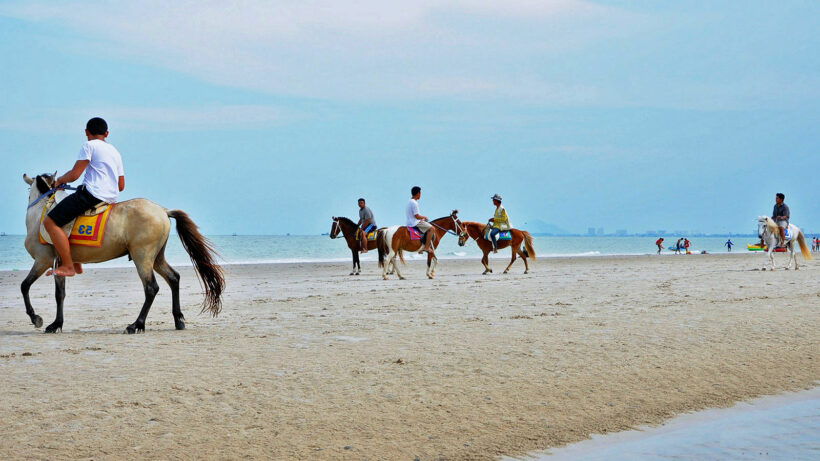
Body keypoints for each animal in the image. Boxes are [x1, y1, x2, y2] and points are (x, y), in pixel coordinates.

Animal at [21, 172, 224, 334]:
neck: (41, 215)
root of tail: (162, 210)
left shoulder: (43, 260)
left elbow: (25, 286)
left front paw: (36, 318)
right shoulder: (59, 263)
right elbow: (60, 294)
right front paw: (56, 324)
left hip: (142, 257)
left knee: (151, 288)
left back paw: (136, 325)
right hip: (156, 258)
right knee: (173, 278)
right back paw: (178, 320)